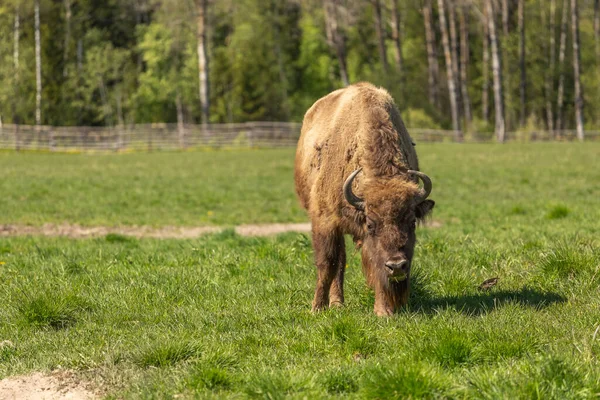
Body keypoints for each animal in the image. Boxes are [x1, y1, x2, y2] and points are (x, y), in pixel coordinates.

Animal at [296, 83, 434, 316]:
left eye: (412, 222)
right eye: (370, 224)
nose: (396, 265)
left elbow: (373, 266)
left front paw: (383, 311)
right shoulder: (325, 221)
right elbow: (327, 264)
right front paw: (317, 308)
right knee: (338, 261)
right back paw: (336, 303)